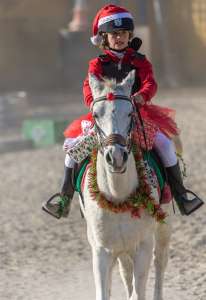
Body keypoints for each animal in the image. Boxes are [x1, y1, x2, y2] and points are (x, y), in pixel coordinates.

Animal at [79, 70, 173, 300]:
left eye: (130, 113)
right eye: (96, 115)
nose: (116, 157)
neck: (118, 195)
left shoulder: (143, 246)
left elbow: (139, 292)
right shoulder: (101, 251)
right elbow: (105, 292)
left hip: (163, 228)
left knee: (160, 261)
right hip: (121, 248)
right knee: (126, 270)